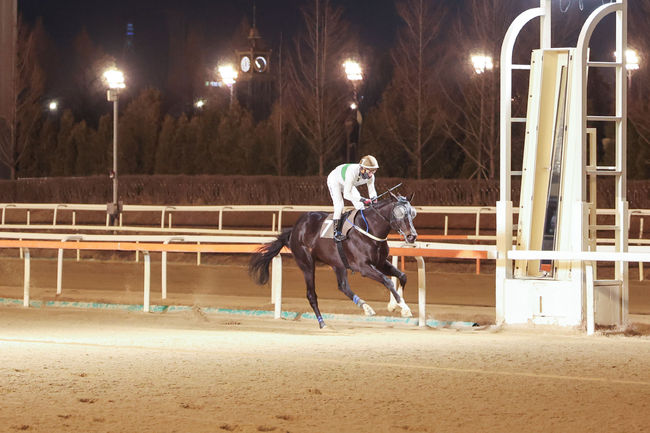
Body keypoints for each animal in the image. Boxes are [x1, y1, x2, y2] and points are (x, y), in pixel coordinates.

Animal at [248, 192, 416, 328]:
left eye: (412, 213)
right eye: (400, 213)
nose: (412, 236)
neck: (369, 229)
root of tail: (295, 229)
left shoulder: (380, 263)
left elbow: (402, 276)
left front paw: (397, 305)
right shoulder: (363, 266)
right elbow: (387, 281)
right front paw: (404, 308)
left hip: (338, 264)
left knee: (343, 286)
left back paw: (366, 307)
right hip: (306, 263)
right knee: (311, 294)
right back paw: (322, 323)